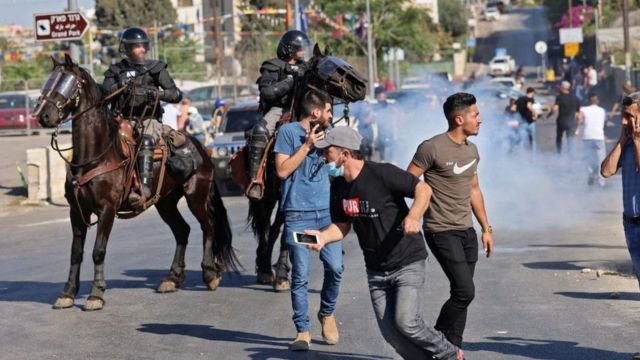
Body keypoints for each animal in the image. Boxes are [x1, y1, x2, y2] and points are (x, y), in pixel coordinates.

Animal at [33, 54, 238, 310]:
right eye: (50, 80)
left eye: (67, 83)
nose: (42, 115)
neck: (95, 154)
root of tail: (201, 147)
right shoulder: (77, 211)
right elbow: (76, 252)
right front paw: (67, 293)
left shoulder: (107, 209)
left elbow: (98, 250)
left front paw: (96, 294)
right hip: (165, 203)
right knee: (182, 231)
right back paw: (172, 278)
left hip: (196, 197)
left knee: (207, 227)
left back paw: (210, 274)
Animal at [251, 45, 370, 292]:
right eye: (329, 66)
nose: (361, 86)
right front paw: (281, 273)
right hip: (265, 197)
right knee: (265, 225)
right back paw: (265, 268)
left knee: (273, 227)